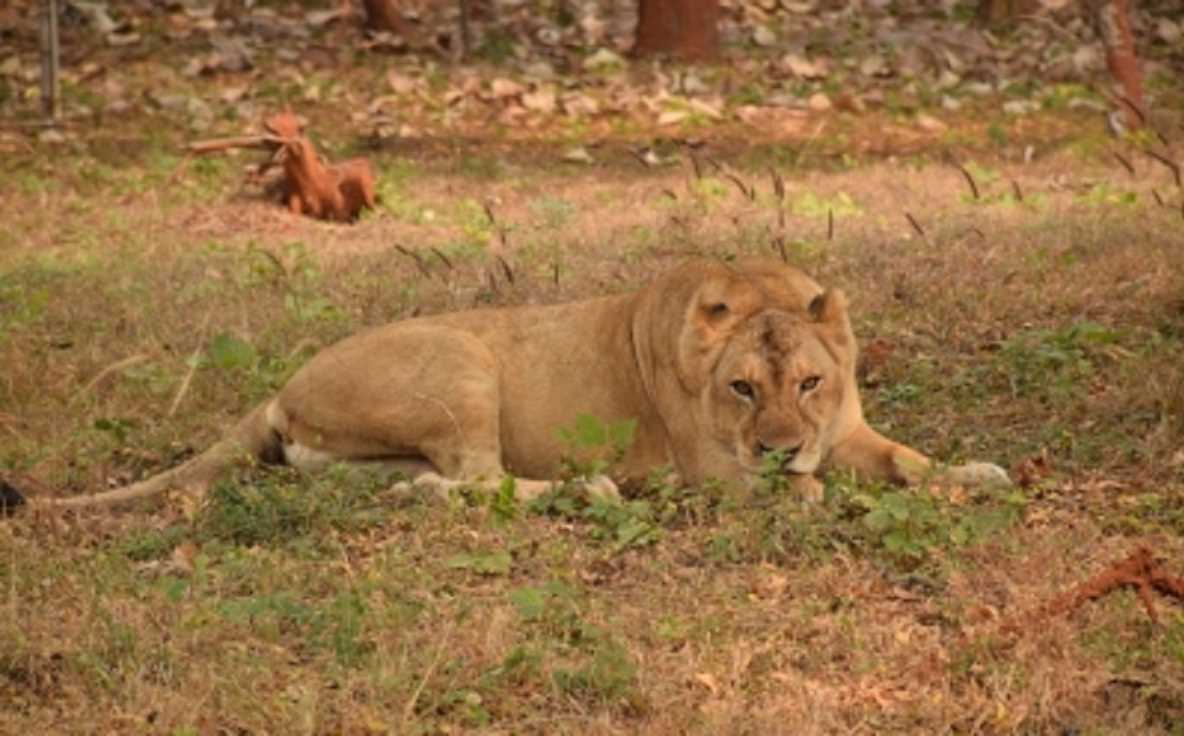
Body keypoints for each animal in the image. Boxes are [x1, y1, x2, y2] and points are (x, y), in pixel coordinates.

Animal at [33, 256, 1007, 510]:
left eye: (809, 382)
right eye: (740, 390)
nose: (779, 448)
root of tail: (280, 386)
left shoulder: (846, 433)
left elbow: (910, 461)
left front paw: (977, 474)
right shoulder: (710, 471)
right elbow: (798, 496)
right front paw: (804, 493)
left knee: (440, 487)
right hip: (464, 365)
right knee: (487, 480)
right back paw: (595, 490)